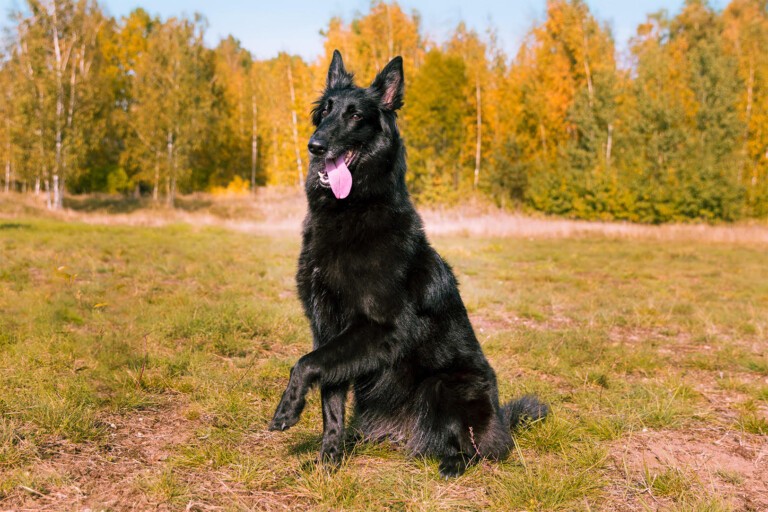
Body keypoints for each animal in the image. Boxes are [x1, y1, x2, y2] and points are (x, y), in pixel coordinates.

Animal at [270, 50, 544, 478]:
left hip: (445, 386)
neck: (351, 210)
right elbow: (330, 398)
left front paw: (287, 409)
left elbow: (306, 364)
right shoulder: (326, 325)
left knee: (477, 448)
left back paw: (453, 463)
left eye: (355, 115)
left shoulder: (379, 327)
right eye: (326, 110)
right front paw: (327, 461)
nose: (315, 146)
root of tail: (501, 421)